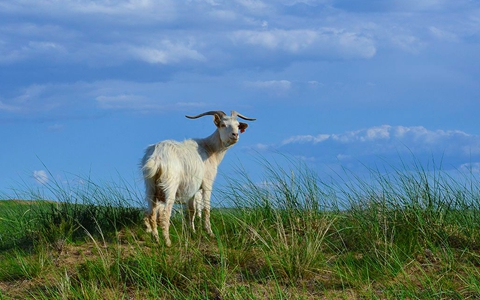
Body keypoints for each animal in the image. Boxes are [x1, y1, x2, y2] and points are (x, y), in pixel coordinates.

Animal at [142, 110, 256, 246]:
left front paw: (192, 232)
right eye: (223, 125)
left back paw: (157, 239)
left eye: (238, 125)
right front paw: (209, 232)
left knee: (151, 213)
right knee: (165, 214)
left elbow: (191, 211)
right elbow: (206, 208)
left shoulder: (193, 189)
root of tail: (157, 156)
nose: (235, 135)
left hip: (150, 187)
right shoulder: (207, 183)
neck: (210, 149)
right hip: (170, 185)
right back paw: (167, 241)